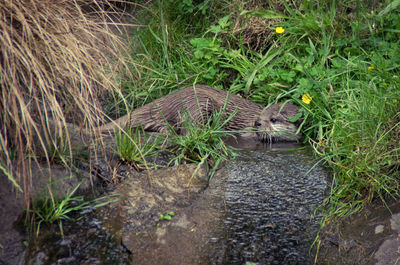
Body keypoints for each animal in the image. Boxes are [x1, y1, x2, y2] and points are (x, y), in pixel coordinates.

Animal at [98, 84, 302, 142]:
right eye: (261, 117)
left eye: (273, 119)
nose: (257, 123)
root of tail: (171, 97)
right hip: (198, 105)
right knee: (188, 132)